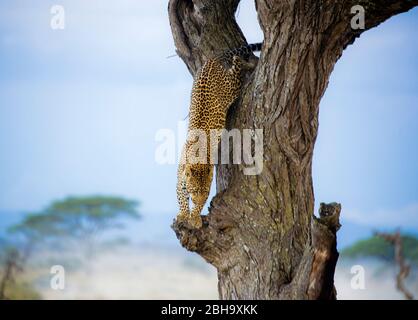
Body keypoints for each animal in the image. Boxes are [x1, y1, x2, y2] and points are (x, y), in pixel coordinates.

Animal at [176, 42, 262, 229]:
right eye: (195, 190)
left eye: (205, 192)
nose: (198, 198)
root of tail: (211, 61)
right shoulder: (180, 182)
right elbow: (181, 199)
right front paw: (183, 214)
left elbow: (196, 205)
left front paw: (194, 217)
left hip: (231, 87)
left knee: (237, 63)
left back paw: (249, 63)